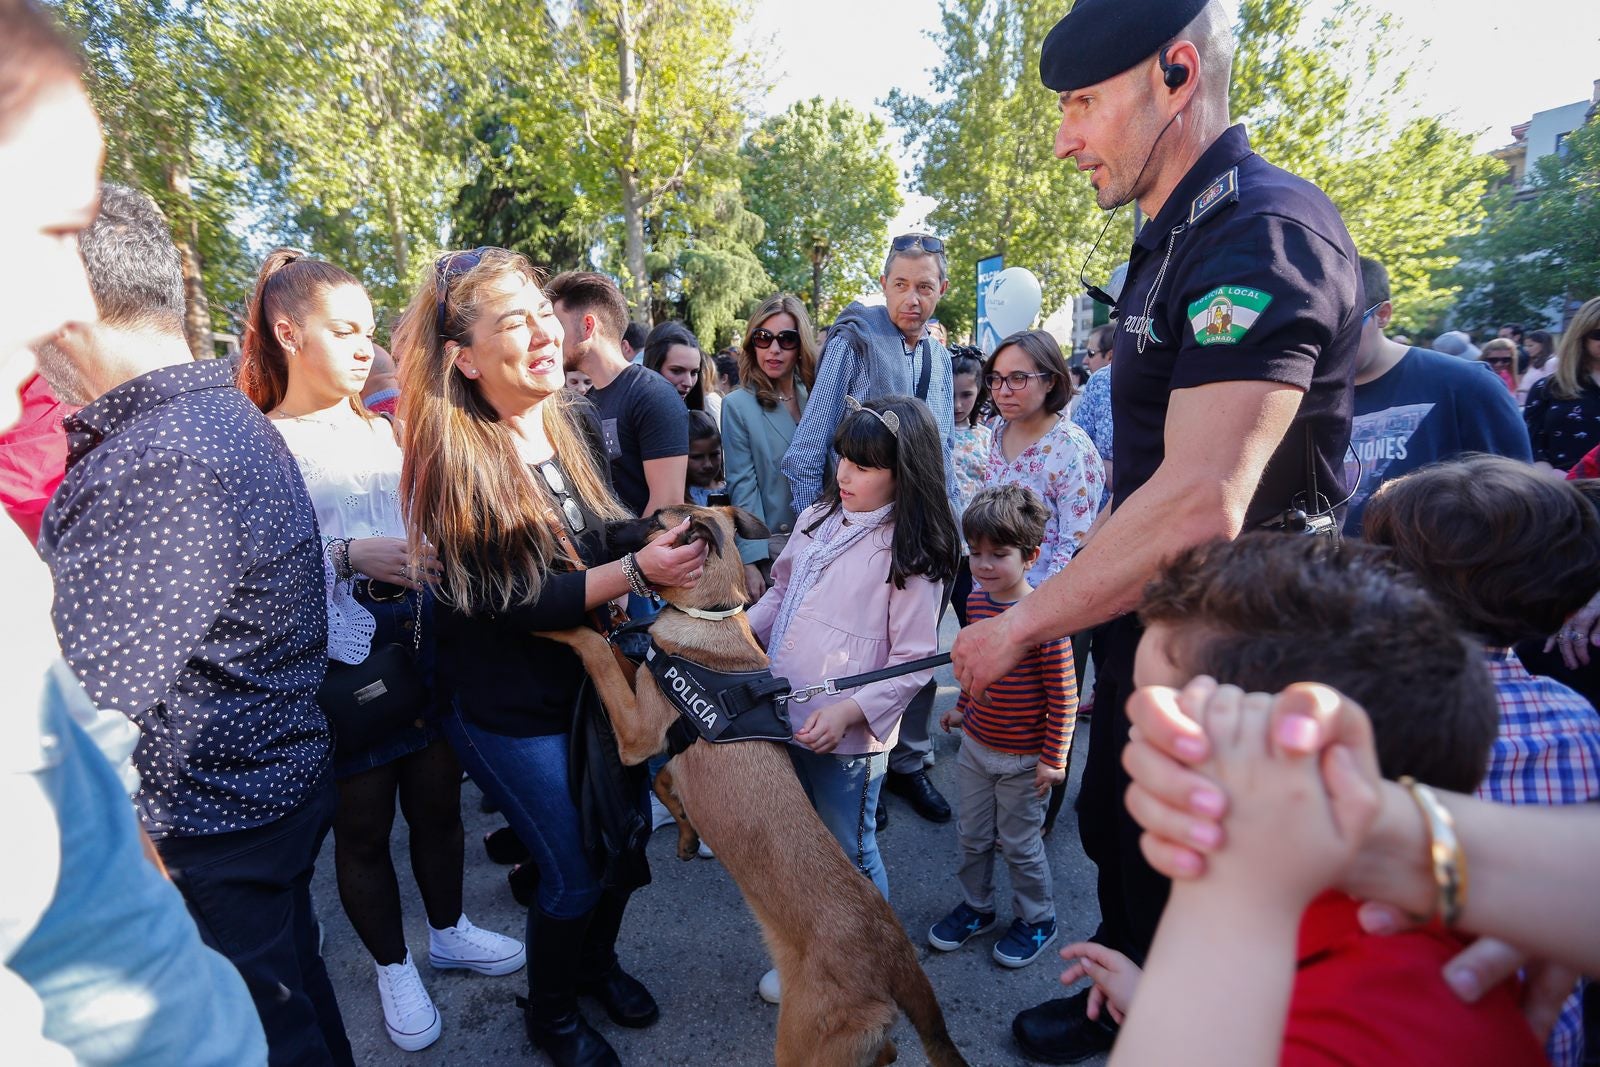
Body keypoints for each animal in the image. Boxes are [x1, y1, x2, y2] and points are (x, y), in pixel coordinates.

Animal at [540, 508, 960, 1067]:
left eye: (651, 519)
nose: (594, 531)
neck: (711, 618)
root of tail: (897, 954)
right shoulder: (656, 734)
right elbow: (663, 772)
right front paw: (686, 836)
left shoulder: (636, 734)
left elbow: (599, 652)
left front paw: (563, 624)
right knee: (887, 1051)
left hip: (803, 1047)